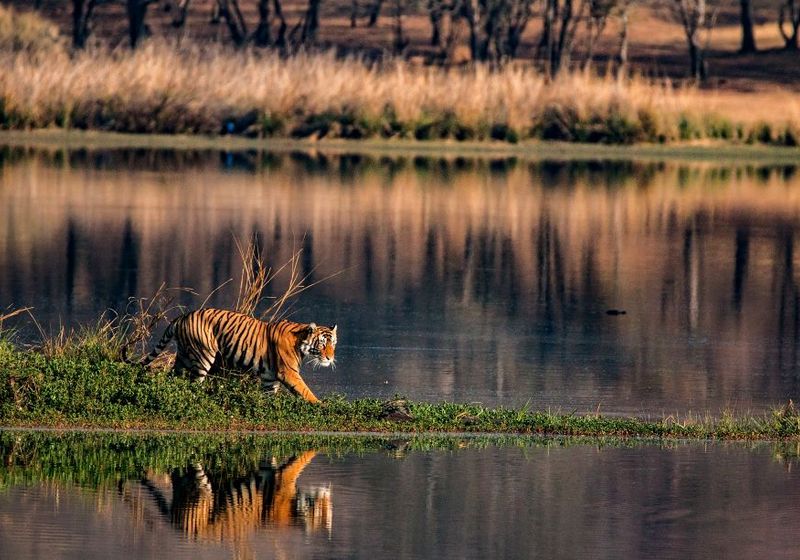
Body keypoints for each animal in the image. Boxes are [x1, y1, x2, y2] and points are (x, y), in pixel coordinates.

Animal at [125, 308, 336, 403]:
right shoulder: (289, 373)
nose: (330, 358)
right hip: (203, 356)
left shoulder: (270, 379)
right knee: (193, 384)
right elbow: (306, 392)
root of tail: (182, 316)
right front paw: (321, 405)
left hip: (183, 357)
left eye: (333, 344)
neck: (301, 342)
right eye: (322, 344)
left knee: (173, 378)